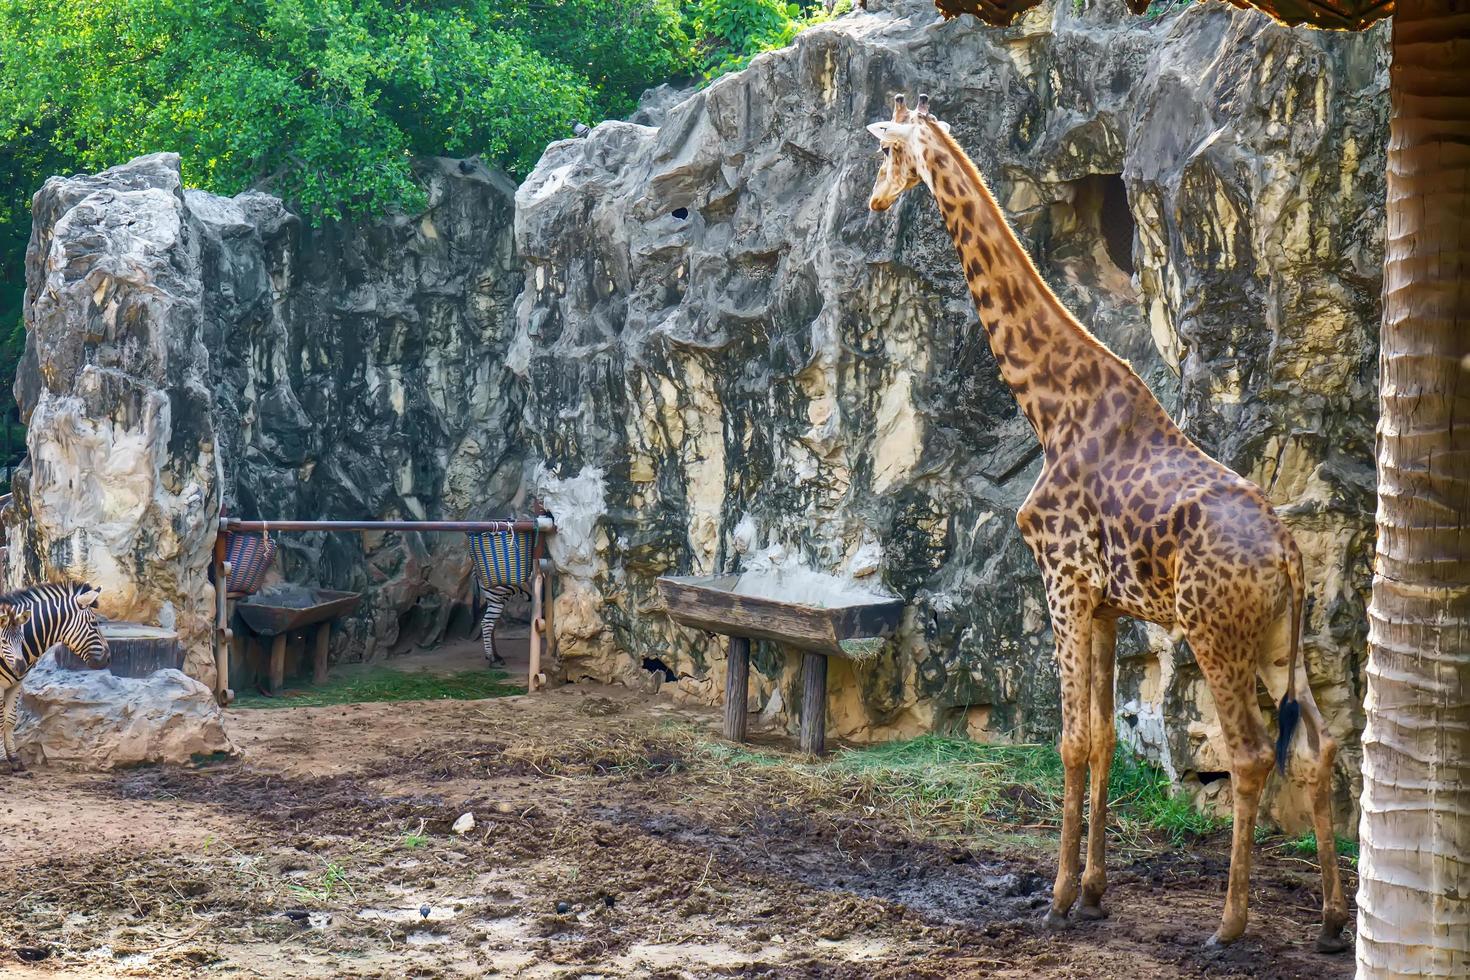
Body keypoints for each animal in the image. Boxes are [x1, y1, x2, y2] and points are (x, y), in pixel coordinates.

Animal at [864, 95, 1346, 952]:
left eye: (885, 152)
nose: (872, 202)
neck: (1050, 404)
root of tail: (1291, 554)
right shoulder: (1105, 602)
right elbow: (1107, 739)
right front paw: (1092, 892)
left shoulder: (1060, 581)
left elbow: (1072, 738)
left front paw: (1057, 896)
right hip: (1280, 640)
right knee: (1319, 750)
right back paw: (1326, 921)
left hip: (1216, 633)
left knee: (1252, 755)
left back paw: (1228, 924)